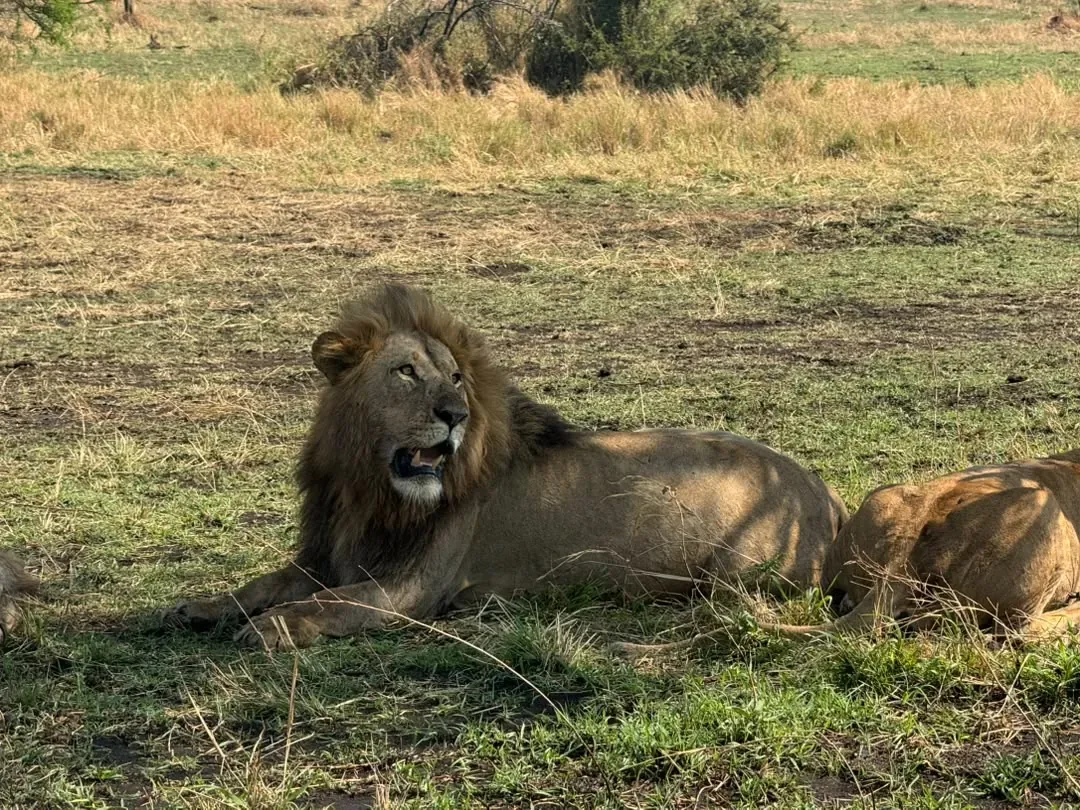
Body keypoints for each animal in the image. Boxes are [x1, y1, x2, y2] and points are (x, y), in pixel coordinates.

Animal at [166, 283, 847, 650]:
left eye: (456, 377)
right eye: (406, 371)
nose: (454, 413)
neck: (370, 489)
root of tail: (823, 489)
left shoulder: (413, 589)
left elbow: (328, 603)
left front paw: (272, 628)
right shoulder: (328, 552)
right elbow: (262, 584)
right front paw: (199, 607)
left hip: (733, 579)